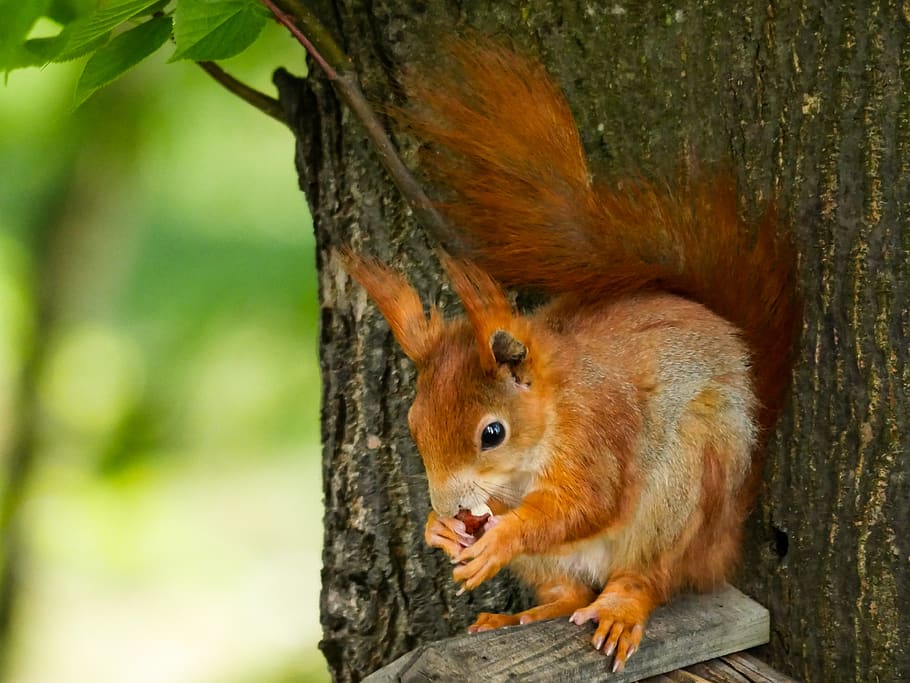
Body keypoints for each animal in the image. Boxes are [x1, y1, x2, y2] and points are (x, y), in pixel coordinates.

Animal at [340, 41, 800, 672]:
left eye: (492, 433)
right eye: (413, 427)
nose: (451, 507)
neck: (547, 421)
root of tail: (721, 541)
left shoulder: (596, 430)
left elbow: (586, 503)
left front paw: (502, 536)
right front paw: (438, 530)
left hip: (684, 489)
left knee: (646, 577)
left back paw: (621, 607)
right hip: (563, 563)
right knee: (568, 592)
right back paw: (523, 616)